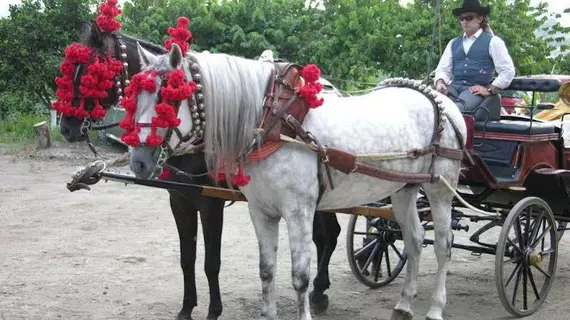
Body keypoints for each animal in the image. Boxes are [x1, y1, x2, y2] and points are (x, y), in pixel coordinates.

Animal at [59, 20, 340, 320]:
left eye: (90, 71)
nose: (66, 127)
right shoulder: (180, 200)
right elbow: (187, 258)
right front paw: (186, 308)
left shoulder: (210, 203)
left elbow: (211, 262)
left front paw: (213, 310)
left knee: (327, 235)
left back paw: (319, 291)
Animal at [129, 43, 466, 320]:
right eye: (136, 95)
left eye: (167, 98)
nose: (138, 161)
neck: (273, 123)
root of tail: (440, 100)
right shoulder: (260, 211)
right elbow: (266, 271)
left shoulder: (298, 212)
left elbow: (299, 276)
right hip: (403, 189)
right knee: (414, 239)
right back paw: (405, 304)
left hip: (439, 188)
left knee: (443, 245)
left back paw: (435, 308)